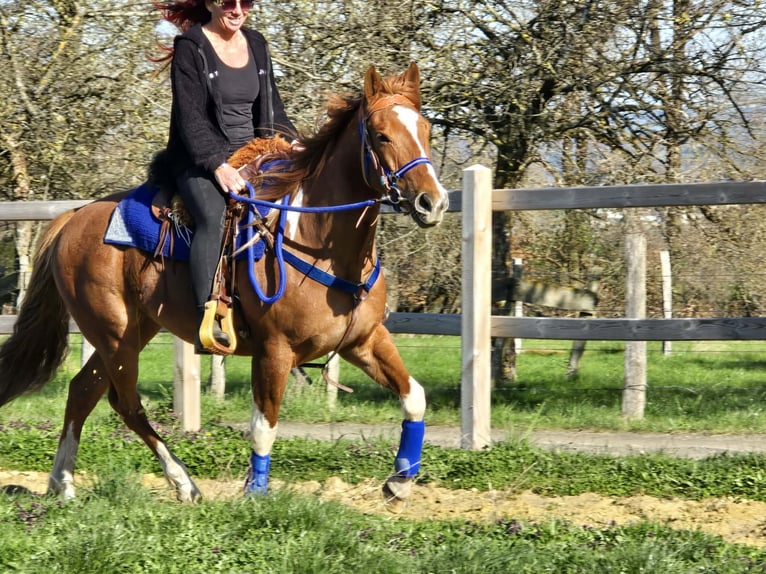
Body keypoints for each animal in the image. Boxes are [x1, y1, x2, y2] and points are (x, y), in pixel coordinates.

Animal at [0, 62, 449, 506]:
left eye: (426, 129)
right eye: (381, 135)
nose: (433, 202)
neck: (318, 241)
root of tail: (72, 218)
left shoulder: (365, 340)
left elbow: (414, 397)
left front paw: (400, 481)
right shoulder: (274, 351)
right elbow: (264, 425)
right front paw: (256, 494)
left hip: (135, 330)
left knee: (83, 390)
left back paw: (63, 483)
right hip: (114, 335)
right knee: (124, 403)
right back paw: (183, 483)